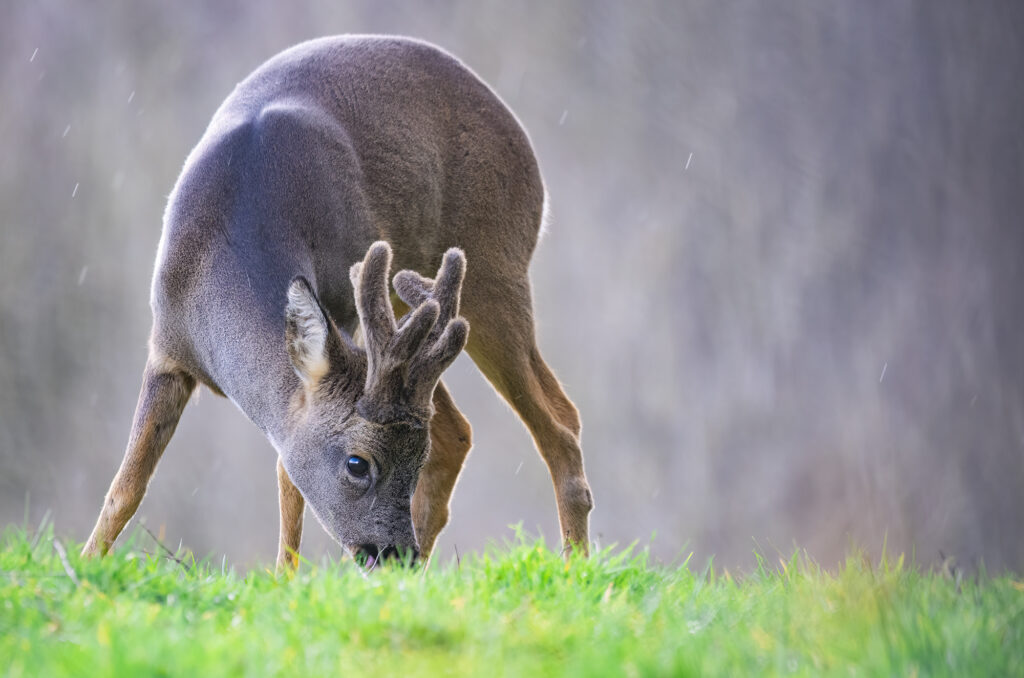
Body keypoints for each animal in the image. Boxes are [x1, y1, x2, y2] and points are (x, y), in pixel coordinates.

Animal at [83, 34, 598, 569]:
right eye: (358, 463)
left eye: (409, 460)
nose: (393, 553)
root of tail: (524, 143)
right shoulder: (166, 348)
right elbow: (126, 487)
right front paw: (84, 564)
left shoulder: (344, 316)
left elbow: (287, 478)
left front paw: (284, 578)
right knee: (464, 429)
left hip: (496, 268)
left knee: (558, 422)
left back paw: (574, 564)